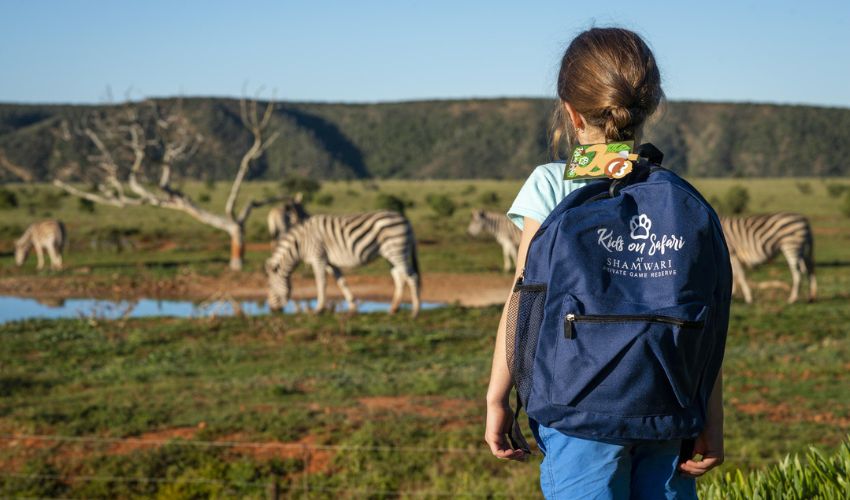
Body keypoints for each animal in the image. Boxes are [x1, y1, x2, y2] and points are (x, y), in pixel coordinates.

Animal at [266, 210, 421, 316]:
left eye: (271, 287)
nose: (272, 310)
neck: (300, 243)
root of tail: (405, 220)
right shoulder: (330, 262)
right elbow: (341, 282)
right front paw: (352, 307)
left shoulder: (318, 258)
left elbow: (321, 283)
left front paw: (319, 309)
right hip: (390, 254)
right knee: (399, 277)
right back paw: (393, 308)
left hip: (397, 251)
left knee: (412, 277)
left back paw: (415, 311)